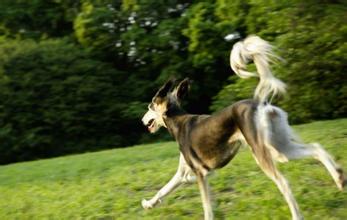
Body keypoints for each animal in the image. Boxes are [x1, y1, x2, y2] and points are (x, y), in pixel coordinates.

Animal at [141, 35, 346, 219]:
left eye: (149, 106)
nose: (142, 120)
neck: (178, 120)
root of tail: (260, 102)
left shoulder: (200, 173)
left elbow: (207, 208)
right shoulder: (184, 173)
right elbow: (163, 190)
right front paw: (148, 204)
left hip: (263, 152)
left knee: (285, 183)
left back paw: (298, 215)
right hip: (280, 148)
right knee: (316, 148)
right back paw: (339, 178)